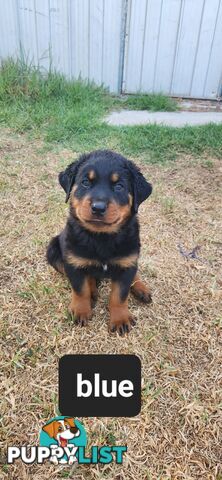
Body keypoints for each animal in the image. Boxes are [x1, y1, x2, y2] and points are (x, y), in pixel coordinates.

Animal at [46, 149, 153, 334]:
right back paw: (93, 291)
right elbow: (79, 289)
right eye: (85, 183)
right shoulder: (73, 261)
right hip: (53, 249)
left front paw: (120, 319)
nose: (98, 207)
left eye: (119, 186)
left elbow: (120, 295)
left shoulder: (127, 263)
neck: (101, 237)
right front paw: (80, 311)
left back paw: (141, 288)